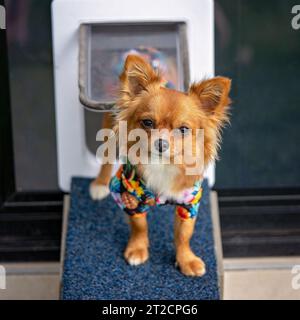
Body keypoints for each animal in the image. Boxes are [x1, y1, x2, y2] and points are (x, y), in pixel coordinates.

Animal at [90, 54, 231, 276]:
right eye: (147, 123)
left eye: (183, 129)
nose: (161, 143)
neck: (163, 165)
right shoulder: (128, 194)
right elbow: (139, 225)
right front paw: (137, 249)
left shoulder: (190, 202)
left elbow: (184, 234)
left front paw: (186, 260)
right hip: (109, 129)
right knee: (106, 156)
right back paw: (99, 184)